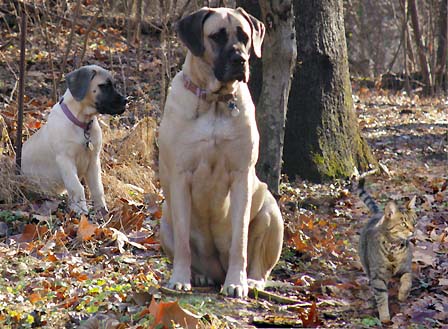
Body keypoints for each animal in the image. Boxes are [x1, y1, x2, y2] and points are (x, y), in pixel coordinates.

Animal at [23, 64, 128, 213]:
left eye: (114, 85)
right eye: (104, 86)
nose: (126, 101)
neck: (82, 123)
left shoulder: (93, 160)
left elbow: (97, 188)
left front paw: (102, 210)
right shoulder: (65, 160)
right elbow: (77, 187)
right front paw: (81, 210)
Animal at [158, 7, 284, 298]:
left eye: (245, 36)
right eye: (216, 36)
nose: (240, 60)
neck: (214, 102)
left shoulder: (241, 176)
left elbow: (240, 240)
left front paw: (236, 282)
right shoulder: (180, 177)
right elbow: (183, 243)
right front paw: (180, 278)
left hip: (271, 211)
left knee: (261, 263)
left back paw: (252, 280)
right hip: (164, 219)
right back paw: (199, 275)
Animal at [356, 178, 416, 322]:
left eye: (414, 222)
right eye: (403, 224)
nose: (413, 230)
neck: (394, 248)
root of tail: (378, 213)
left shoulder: (406, 269)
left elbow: (407, 282)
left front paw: (402, 295)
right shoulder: (378, 276)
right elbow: (382, 298)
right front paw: (384, 317)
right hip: (366, 264)